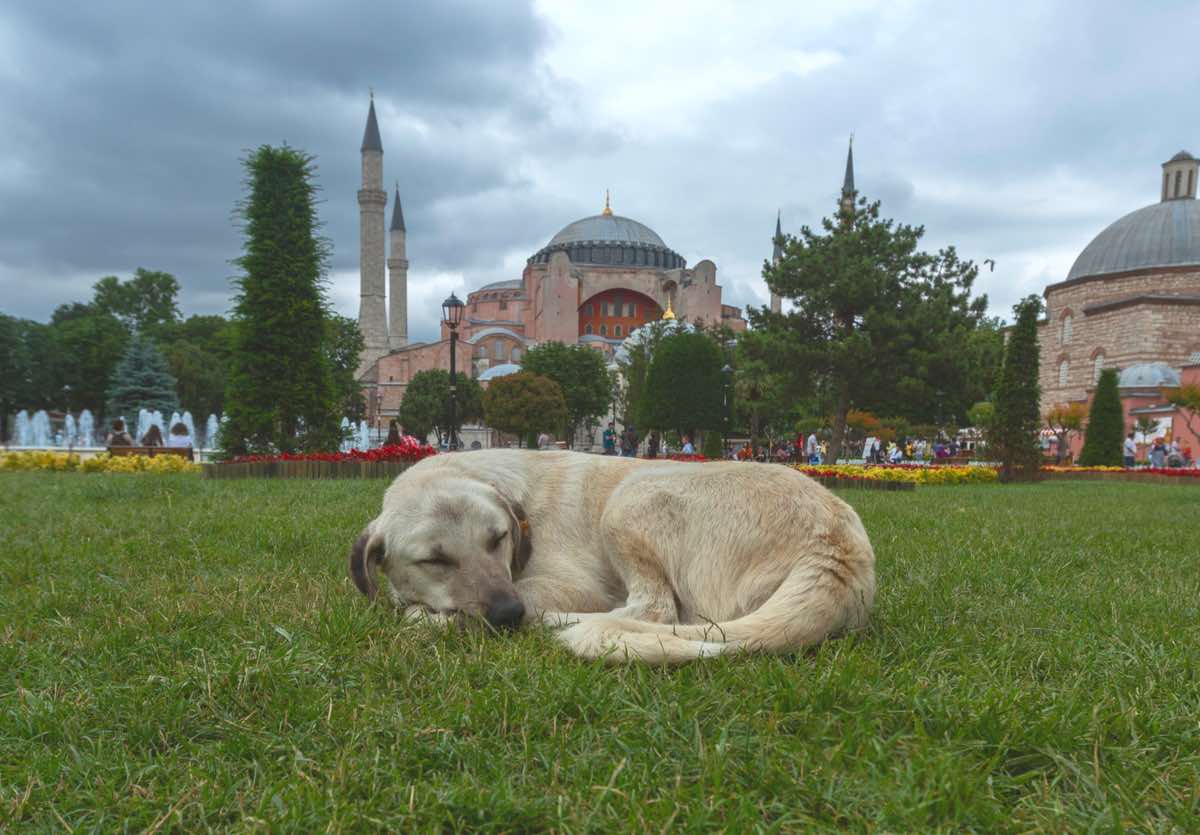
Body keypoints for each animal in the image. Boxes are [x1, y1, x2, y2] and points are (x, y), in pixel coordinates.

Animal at [348, 446, 873, 662]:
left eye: (497, 539)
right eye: (434, 561)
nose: (508, 614)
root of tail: (840, 546)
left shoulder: (569, 586)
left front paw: (431, 617)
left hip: (631, 496)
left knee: (655, 610)